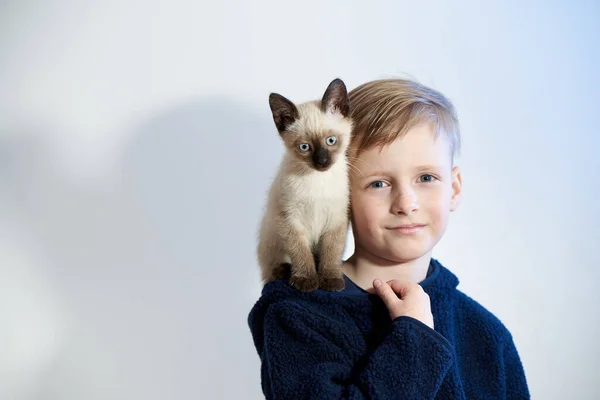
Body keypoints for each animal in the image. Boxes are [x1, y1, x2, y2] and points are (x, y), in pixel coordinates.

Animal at [256, 78, 352, 292]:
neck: (317, 181)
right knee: (271, 270)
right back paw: (282, 271)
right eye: (304, 147)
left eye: (331, 141)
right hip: (271, 238)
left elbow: (331, 253)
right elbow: (300, 252)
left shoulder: (336, 219)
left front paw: (331, 280)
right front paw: (306, 280)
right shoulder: (289, 220)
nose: (322, 162)